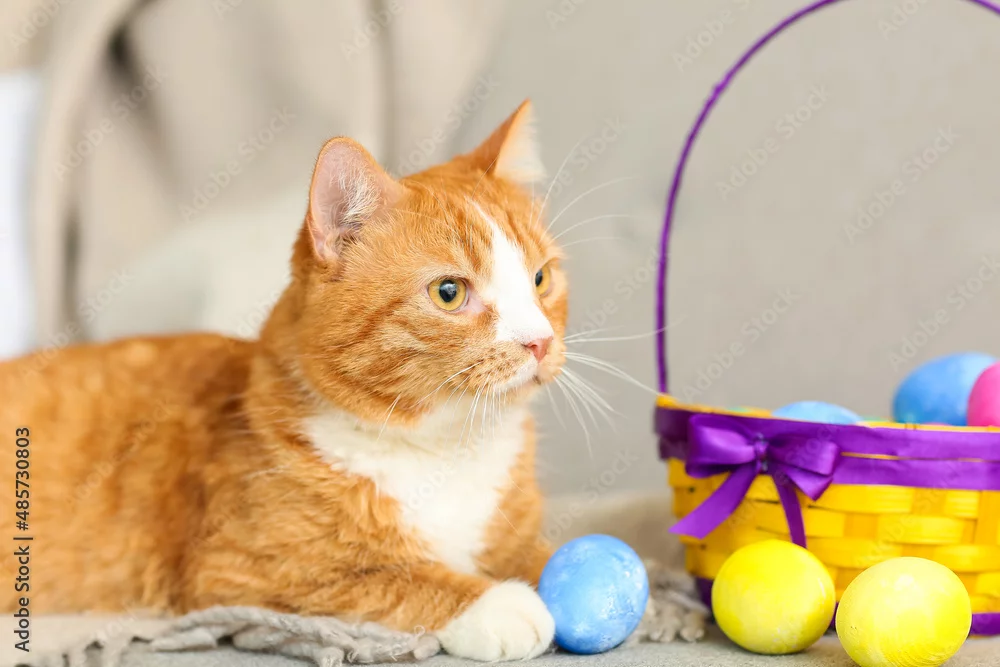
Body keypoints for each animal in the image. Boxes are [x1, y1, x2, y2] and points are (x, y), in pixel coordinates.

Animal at [0, 101, 567, 661]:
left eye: (541, 279)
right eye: (449, 292)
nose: (539, 341)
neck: (446, 450)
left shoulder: (519, 540)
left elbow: (551, 552)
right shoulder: (238, 573)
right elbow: (393, 579)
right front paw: (497, 603)